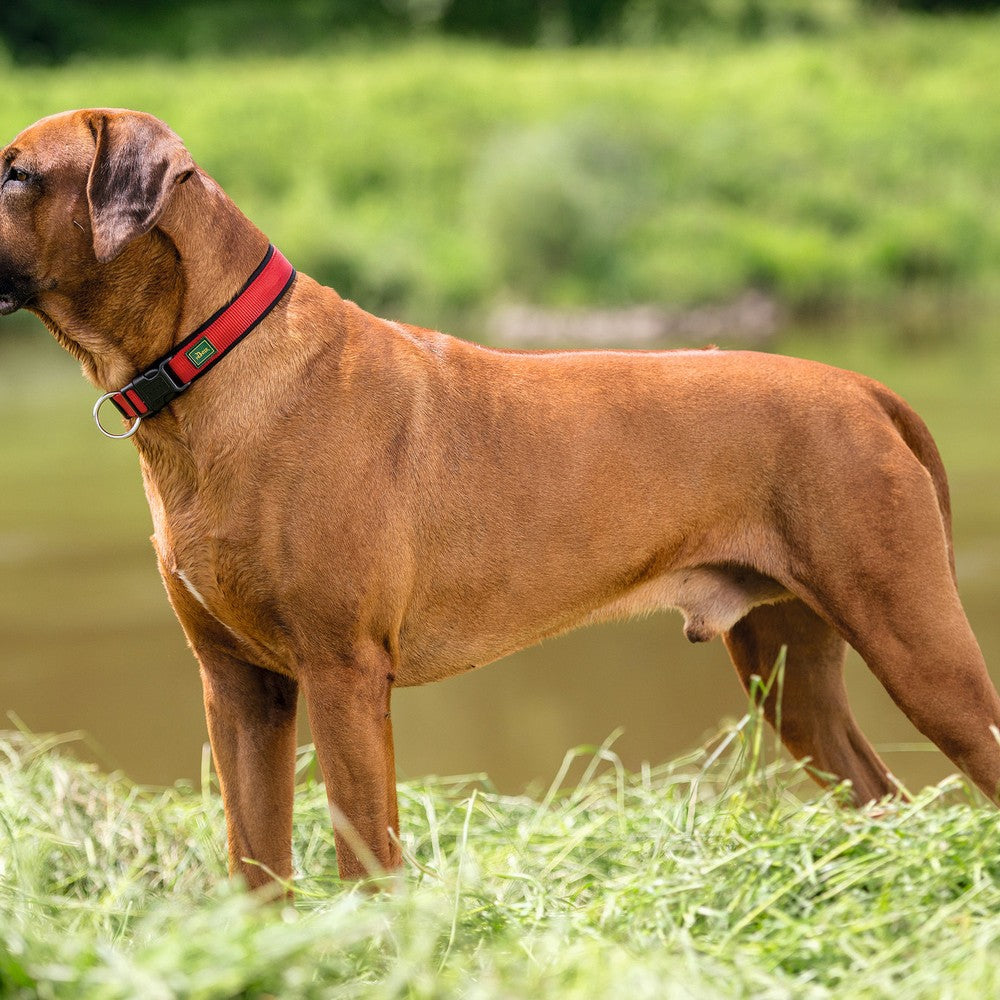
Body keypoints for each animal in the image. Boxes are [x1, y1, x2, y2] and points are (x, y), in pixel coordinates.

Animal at [1, 111, 1000, 892]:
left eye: (15, 172)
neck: (213, 361)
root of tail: (863, 389)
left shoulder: (342, 674)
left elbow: (366, 860)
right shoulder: (239, 687)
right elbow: (256, 865)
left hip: (915, 639)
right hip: (786, 662)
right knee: (880, 796)